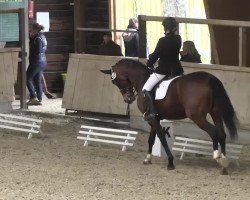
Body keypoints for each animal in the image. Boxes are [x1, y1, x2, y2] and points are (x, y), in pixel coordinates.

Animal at [101, 58, 238, 173]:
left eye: (115, 81)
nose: (128, 99)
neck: (142, 80)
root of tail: (209, 78)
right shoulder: (153, 118)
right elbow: (151, 139)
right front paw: (147, 159)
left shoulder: (153, 119)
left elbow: (161, 138)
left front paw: (170, 162)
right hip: (215, 113)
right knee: (222, 133)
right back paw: (224, 163)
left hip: (197, 117)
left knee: (214, 132)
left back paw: (217, 156)